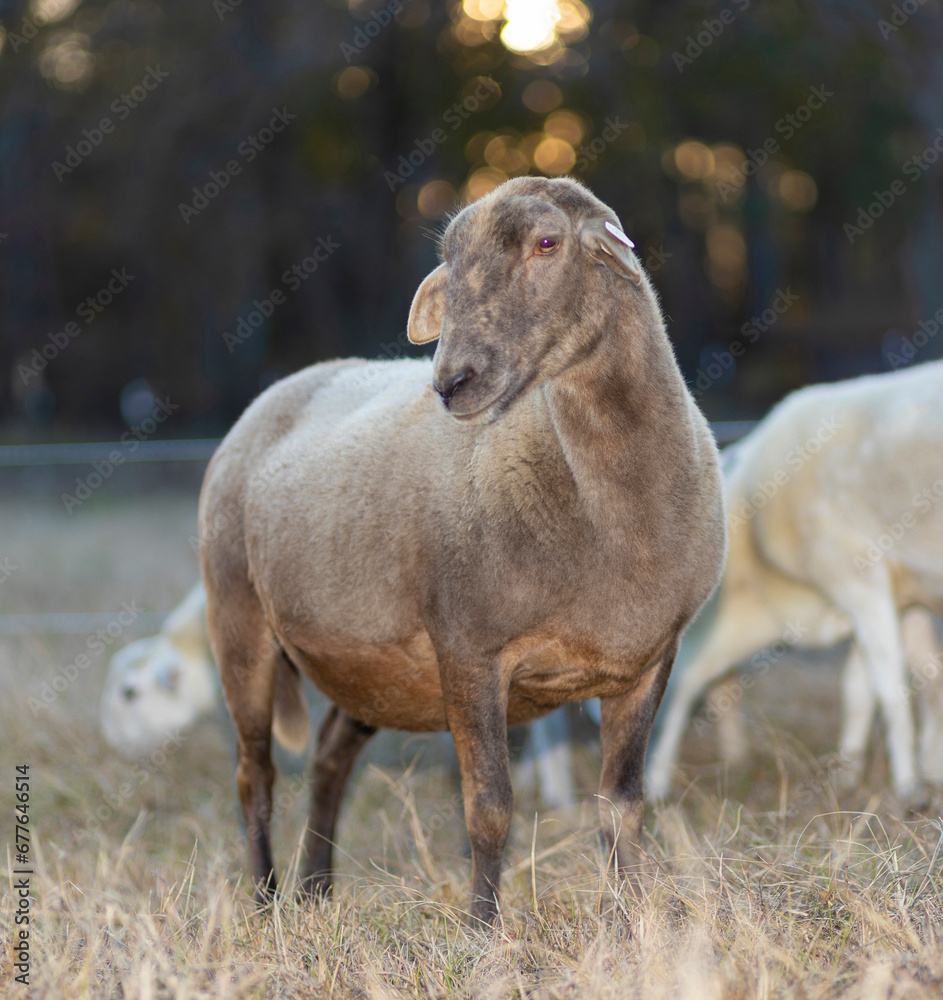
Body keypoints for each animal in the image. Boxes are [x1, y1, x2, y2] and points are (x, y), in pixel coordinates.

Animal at [198, 176, 727, 924]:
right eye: (448, 260)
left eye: (547, 242)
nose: (450, 382)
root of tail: (281, 389)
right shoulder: (469, 651)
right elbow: (489, 810)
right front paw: (482, 928)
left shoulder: (649, 661)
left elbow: (620, 806)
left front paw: (634, 918)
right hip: (237, 619)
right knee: (255, 775)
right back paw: (268, 900)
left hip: (372, 668)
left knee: (329, 758)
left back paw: (316, 892)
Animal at [646, 362, 943, 804]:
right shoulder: (895, 596)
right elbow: (871, 688)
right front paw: (850, 776)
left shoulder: (858, 581)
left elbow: (891, 690)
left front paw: (908, 787)